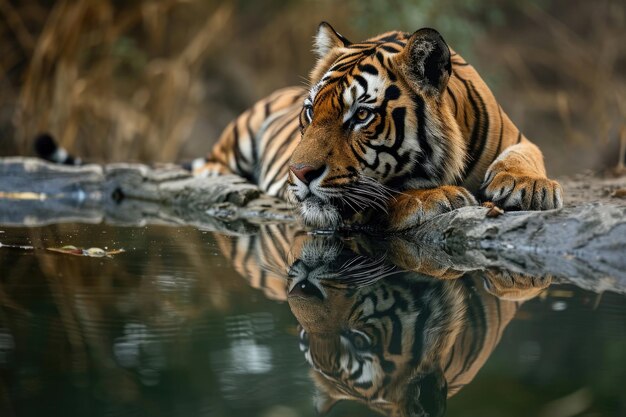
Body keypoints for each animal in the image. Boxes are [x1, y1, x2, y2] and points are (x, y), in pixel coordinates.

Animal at [195, 22, 560, 231]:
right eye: (311, 111)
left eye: (360, 116)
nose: (298, 172)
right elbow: (383, 195)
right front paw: (439, 197)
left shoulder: (519, 138)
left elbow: (525, 156)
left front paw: (529, 187)